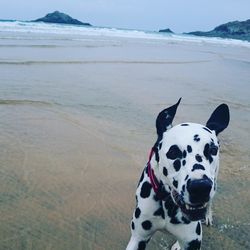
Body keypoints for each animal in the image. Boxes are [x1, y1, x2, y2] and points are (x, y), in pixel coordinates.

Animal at [127, 98, 230, 249]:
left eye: (212, 150)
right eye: (173, 152)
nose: (200, 187)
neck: (168, 203)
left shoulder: (192, 242)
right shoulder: (138, 237)